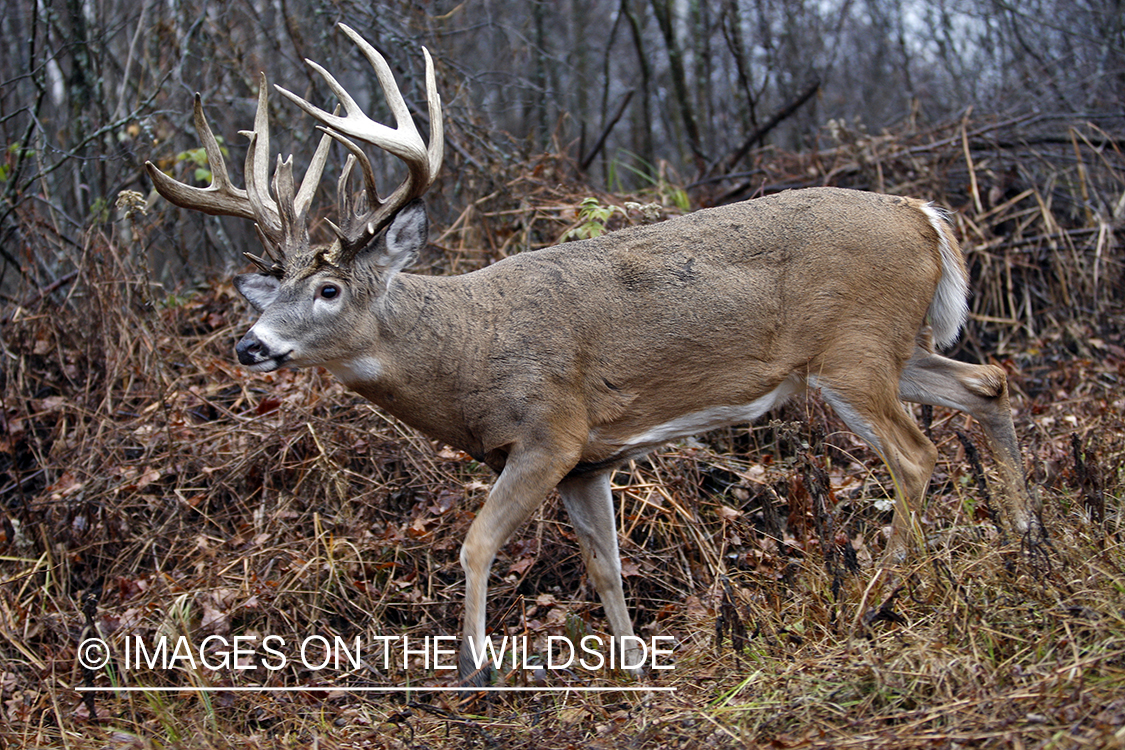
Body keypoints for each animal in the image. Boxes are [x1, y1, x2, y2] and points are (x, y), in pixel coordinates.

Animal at [145, 23, 1039, 683]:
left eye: (329, 290)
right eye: (273, 292)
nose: (250, 344)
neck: (465, 350)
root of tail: (923, 215)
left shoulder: (551, 430)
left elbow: (476, 543)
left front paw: (475, 670)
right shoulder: (591, 461)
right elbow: (604, 565)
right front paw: (636, 666)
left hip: (850, 352)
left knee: (916, 455)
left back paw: (877, 597)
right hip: (893, 346)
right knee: (988, 381)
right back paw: (1029, 539)